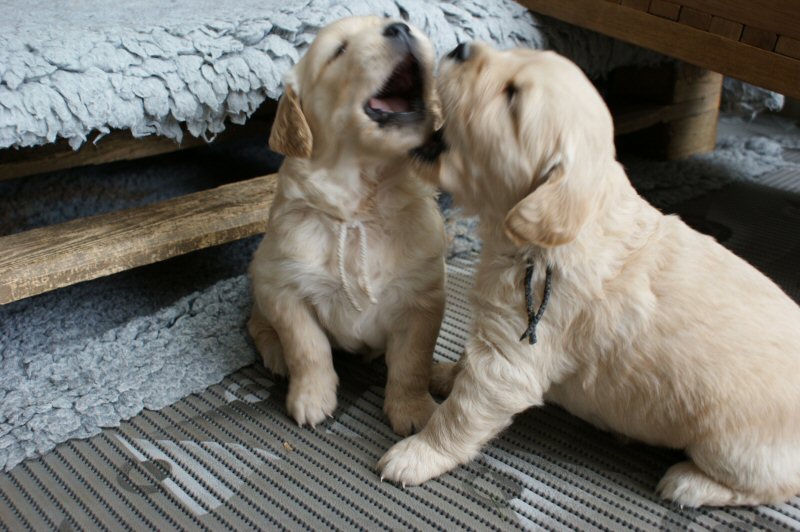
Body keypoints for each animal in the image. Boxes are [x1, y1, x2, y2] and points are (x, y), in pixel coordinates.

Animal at [248, 16, 446, 436]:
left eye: (396, 16)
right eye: (339, 50)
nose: (400, 27)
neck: (360, 208)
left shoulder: (423, 297)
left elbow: (413, 360)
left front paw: (413, 408)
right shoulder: (282, 287)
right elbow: (307, 348)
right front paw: (311, 398)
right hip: (257, 279)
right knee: (258, 326)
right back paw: (276, 357)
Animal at [379, 43, 800, 507]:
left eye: (512, 96)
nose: (460, 47)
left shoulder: (512, 357)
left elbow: (461, 412)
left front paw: (417, 454)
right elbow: (467, 366)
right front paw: (444, 373)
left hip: (734, 444)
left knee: (771, 484)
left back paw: (689, 483)